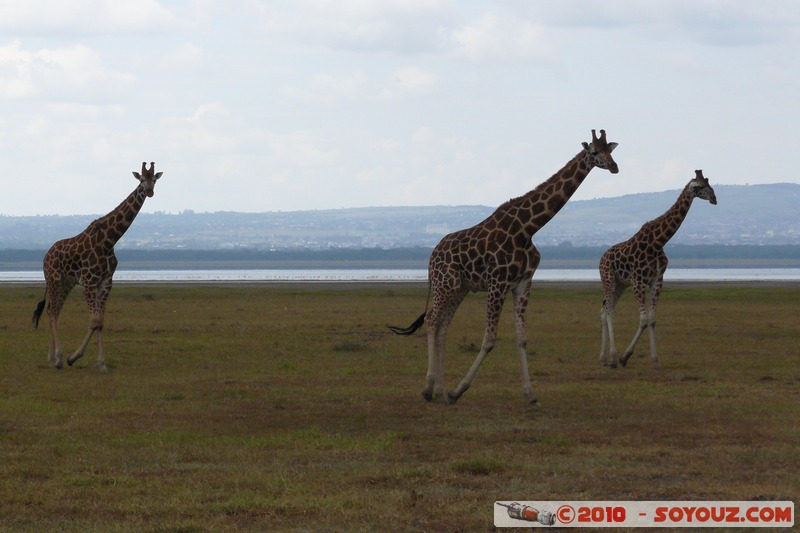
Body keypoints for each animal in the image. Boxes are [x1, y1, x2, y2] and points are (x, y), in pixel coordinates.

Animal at [32, 162, 163, 370]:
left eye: (154, 180)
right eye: (141, 179)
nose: (149, 191)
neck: (109, 240)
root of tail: (46, 255)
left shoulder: (106, 281)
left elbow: (100, 321)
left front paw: (101, 363)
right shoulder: (89, 280)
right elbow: (94, 320)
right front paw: (72, 357)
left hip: (66, 283)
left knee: (54, 310)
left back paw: (51, 358)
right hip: (53, 279)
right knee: (51, 311)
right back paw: (58, 358)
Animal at [390, 129, 620, 404]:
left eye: (611, 150)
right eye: (594, 152)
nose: (615, 167)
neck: (527, 228)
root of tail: (431, 257)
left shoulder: (522, 283)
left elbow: (522, 339)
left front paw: (530, 394)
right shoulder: (497, 282)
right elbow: (489, 339)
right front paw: (459, 390)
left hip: (460, 288)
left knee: (443, 326)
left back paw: (439, 390)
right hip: (446, 284)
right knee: (432, 320)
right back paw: (428, 389)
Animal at [596, 168, 716, 368]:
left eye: (709, 183)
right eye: (699, 186)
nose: (714, 198)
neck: (658, 242)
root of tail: (601, 258)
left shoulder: (657, 280)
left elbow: (652, 320)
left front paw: (655, 361)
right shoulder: (638, 281)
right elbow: (644, 320)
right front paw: (624, 357)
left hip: (620, 284)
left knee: (605, 310)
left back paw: (603, 358)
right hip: (608, 279)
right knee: (609, 312)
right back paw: (612, 357)